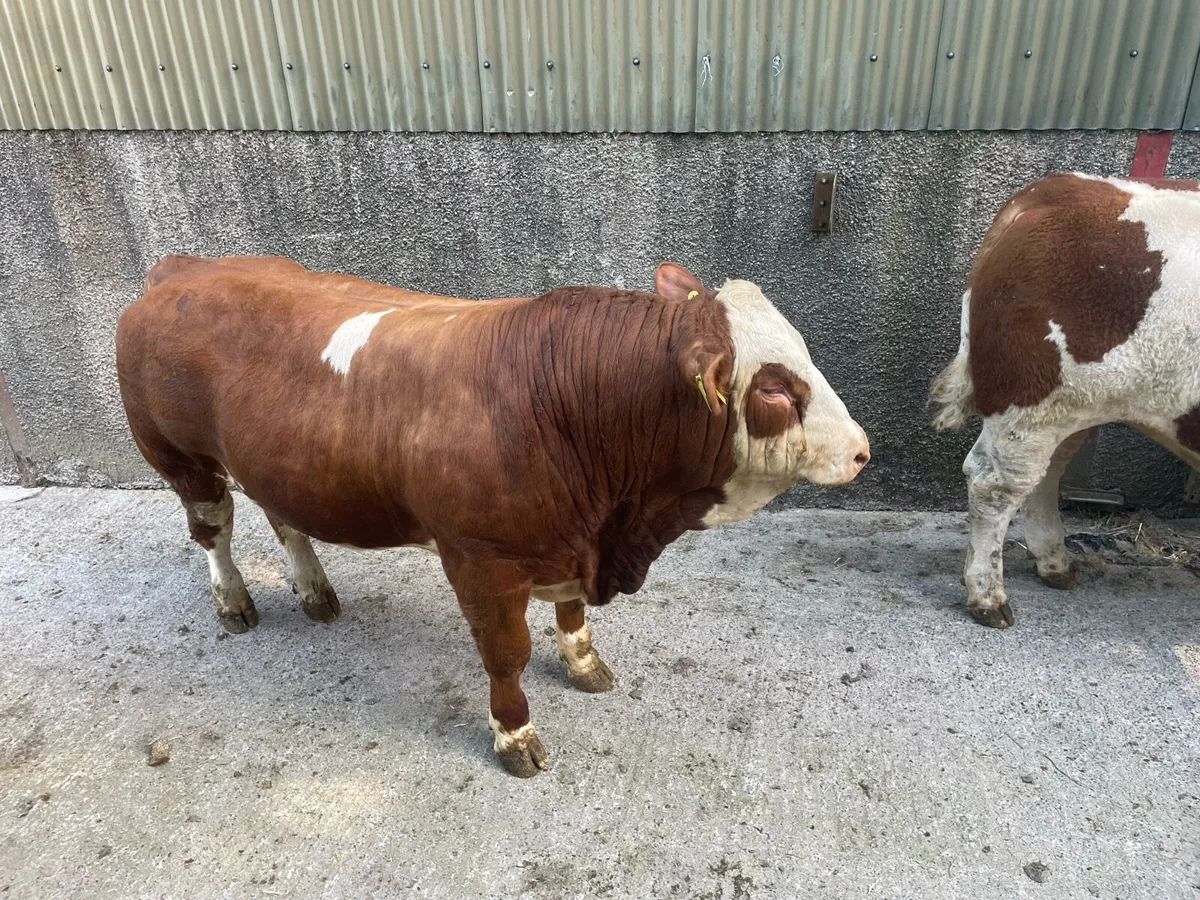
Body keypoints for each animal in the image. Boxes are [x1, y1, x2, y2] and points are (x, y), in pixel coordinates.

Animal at [116, 255, 870, 775]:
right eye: (776, 388)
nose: (863, 450)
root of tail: (186, 267)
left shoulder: (571, 540)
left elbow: (571, 614)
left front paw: (585, 664)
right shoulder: (481, 559)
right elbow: (507, 654)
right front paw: (515, 734)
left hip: (279, 467)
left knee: (285, 520)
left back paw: (314, 590)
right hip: (180, 461)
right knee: (213, 531)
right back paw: (234, 601)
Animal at [930, 172, 1200, 628]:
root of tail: (1048, 191)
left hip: (1071, 406)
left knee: (1045, 475)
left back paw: (1053, 564)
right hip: (1035, 398)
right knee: (996, 484)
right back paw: (988, 596)